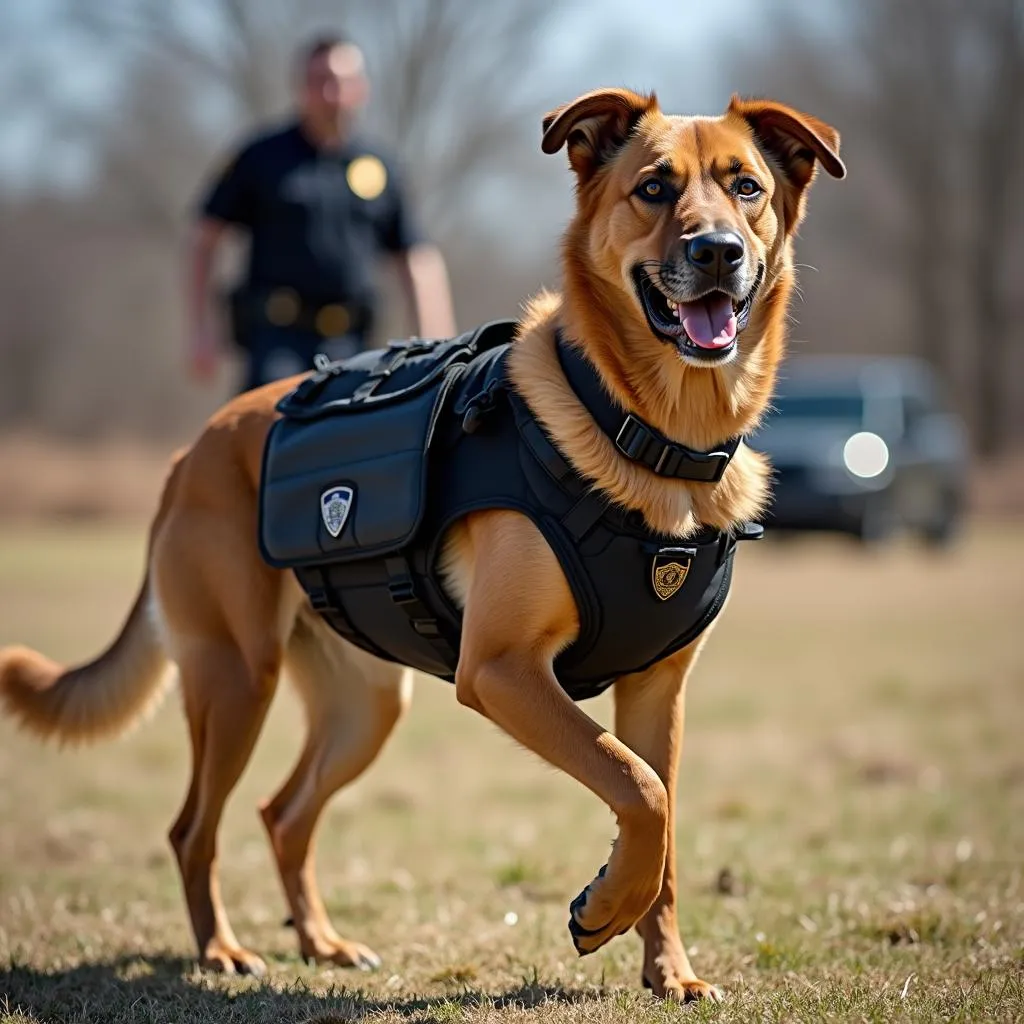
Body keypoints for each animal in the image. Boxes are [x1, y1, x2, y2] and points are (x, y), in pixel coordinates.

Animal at [0, 88, 843, 999]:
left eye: (746, 187)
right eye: (654, 188)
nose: (718, 251)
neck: (656, 439)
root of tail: (191, 452)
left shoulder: (658, 691)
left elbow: (662, 822)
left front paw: (667, 967)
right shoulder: (502, 669)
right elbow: (637, 785)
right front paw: (606, 908)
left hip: (363, 706)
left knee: (282, 814)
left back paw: (322, 942)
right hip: (235, 679)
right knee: (194, 827)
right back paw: (221, 949)